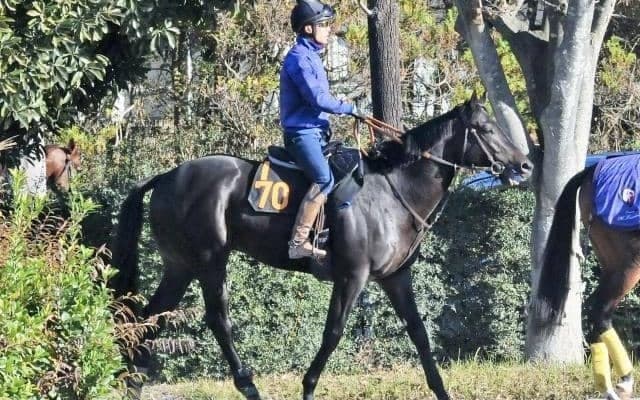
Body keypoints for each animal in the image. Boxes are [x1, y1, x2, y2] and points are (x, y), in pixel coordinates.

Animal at [110, 93, 532, 400]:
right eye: (485, 128)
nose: (525, 165)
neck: (393, 190)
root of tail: (168, 176)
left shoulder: (396, 278)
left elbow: (419, 333)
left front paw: (441, 390)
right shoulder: (352, 276)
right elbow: (333, 333)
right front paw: (308, 387)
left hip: (179, 266)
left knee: (146, 321)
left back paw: (133, 382)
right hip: (210, 261)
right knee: (217, 320)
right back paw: (247, 384)